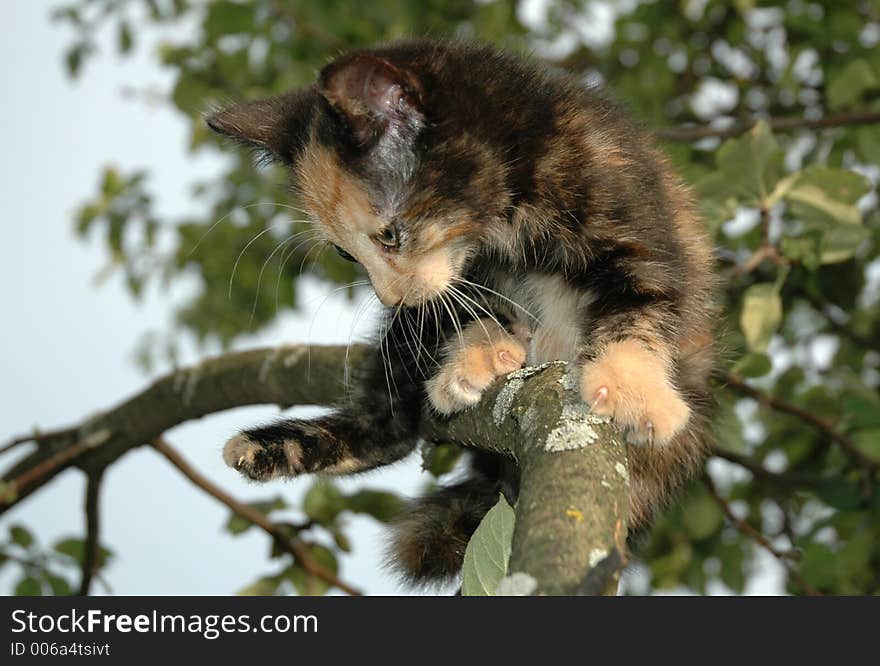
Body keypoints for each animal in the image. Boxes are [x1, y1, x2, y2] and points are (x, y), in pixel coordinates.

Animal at [210, 39, 720, 584]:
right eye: (347, 254)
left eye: (389, 235)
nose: (392, 299)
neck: (511, 206)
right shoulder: (453, 285)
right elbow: (464, 307)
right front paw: (480, 356)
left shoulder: (629, 205)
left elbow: (643, 299)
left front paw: (631, 385)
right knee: (388, 427)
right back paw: (270, 447)